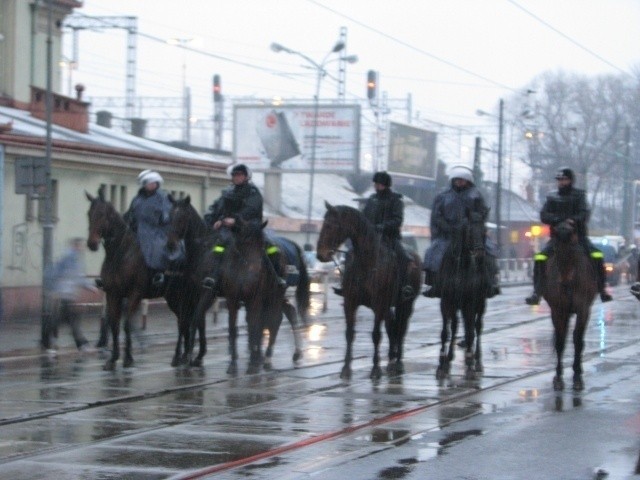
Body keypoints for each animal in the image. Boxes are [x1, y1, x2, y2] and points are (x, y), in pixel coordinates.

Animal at [84, 188, 192, 372]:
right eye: (89, 213)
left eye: (103, 214)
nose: (92, 243)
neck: (121, 254)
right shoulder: (113, 294)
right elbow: (114, 325)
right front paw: (113, 358)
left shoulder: (135, 294)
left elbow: (127, 324)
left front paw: (128, 358)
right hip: (172, 297)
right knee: (184, 321)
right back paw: (183, 355)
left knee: (185, 321)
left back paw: (183, 356)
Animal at [316, 202, 420, 378]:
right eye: (323, 223)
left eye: (331, 225)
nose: (320, 255)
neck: (367, 261)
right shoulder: (350, 302)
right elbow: (349, 334)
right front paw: (346, 368)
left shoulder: (379, 305)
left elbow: (376, 335)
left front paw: (375, 369)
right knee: (392, 327)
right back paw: (391, 359)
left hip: (405, 304)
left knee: (401, 329)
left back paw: (398, 362)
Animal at [436, 216, 490, 380]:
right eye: (469, 231)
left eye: (485, 231)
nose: (480, 254)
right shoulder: (446, 302)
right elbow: (446, 332)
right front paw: (441, 364)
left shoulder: (470, 303)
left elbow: (471, 331)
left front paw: (470, 365)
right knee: (457, 326)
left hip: (480, 304)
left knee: (476, 328)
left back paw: (476, 360)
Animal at [544, 220, 596, 390]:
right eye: (555, 249)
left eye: (573, 246)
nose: (565, 282)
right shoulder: (558, 310)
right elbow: (560, 341)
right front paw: (558, 378)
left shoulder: (583, 309)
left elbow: (578, 340)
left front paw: (577, 377)